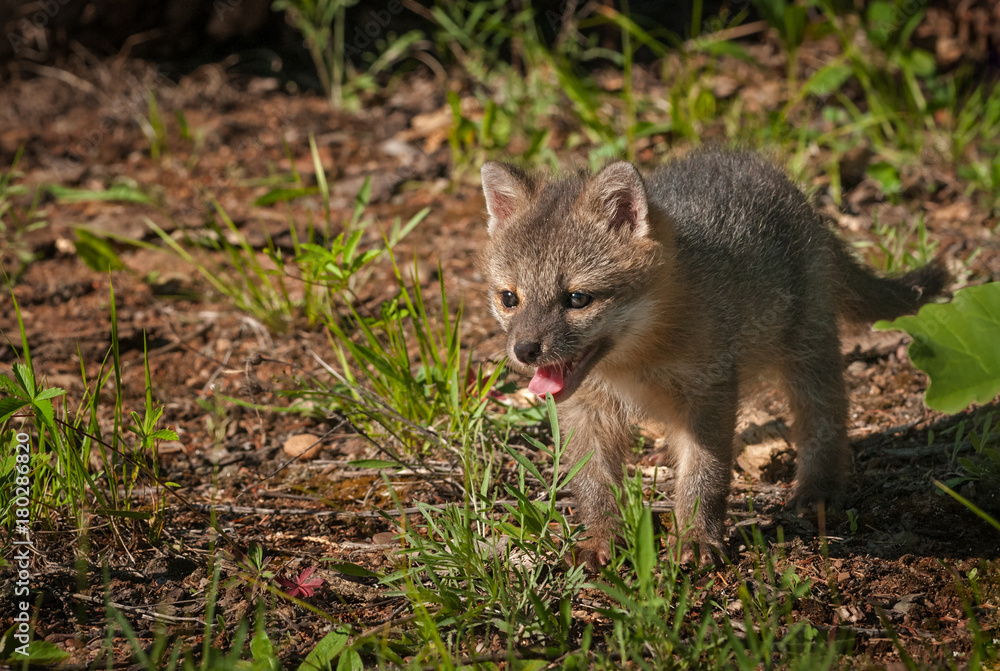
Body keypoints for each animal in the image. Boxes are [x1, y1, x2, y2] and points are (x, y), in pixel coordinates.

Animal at [479, 149, 949, 569]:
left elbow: (704, 476)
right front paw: (602, 539)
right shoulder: (587, 411)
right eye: (509, 298)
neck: (635, 366)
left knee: (825, 418)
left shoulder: (711, 393)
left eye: (577, 299)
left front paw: (696, 538)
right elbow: (593, 484)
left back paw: (819, 488)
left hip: (807, 352)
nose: (524, 350)